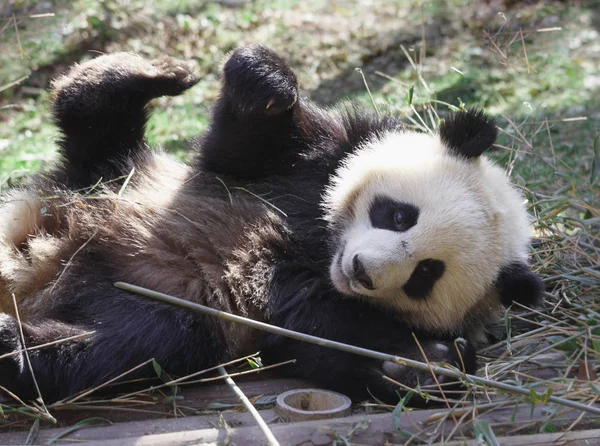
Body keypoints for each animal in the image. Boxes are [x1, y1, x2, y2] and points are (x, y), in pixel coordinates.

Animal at [0, 45, 544, 404]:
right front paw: (268, 85)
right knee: (93, 109)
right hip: (108, 174)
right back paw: (160, 72)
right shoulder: (311, 161)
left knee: (121, 347)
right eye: (397, 215)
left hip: (167, 304)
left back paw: (12, 344)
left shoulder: (316, 309)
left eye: (426, 274)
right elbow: (246, 143)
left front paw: (424, 366)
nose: (362, 270)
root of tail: (38, 261)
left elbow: (316, 344)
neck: (318, 248)